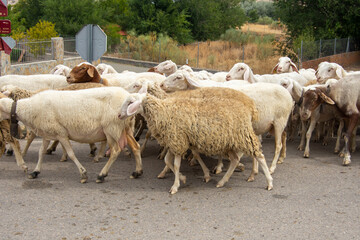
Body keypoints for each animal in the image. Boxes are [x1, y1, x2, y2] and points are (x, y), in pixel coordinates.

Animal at [0, 87, 143, 183]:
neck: (30, 108)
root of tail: (129, 96)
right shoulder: (47, 133)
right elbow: (41, 152)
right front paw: (35, 172)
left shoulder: (61, 133)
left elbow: (71, 154)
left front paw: (83, 174)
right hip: (125, 128)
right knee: (136, 147)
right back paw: (137, 172)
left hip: (112, 128)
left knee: (116, 150)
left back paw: (102, 175)